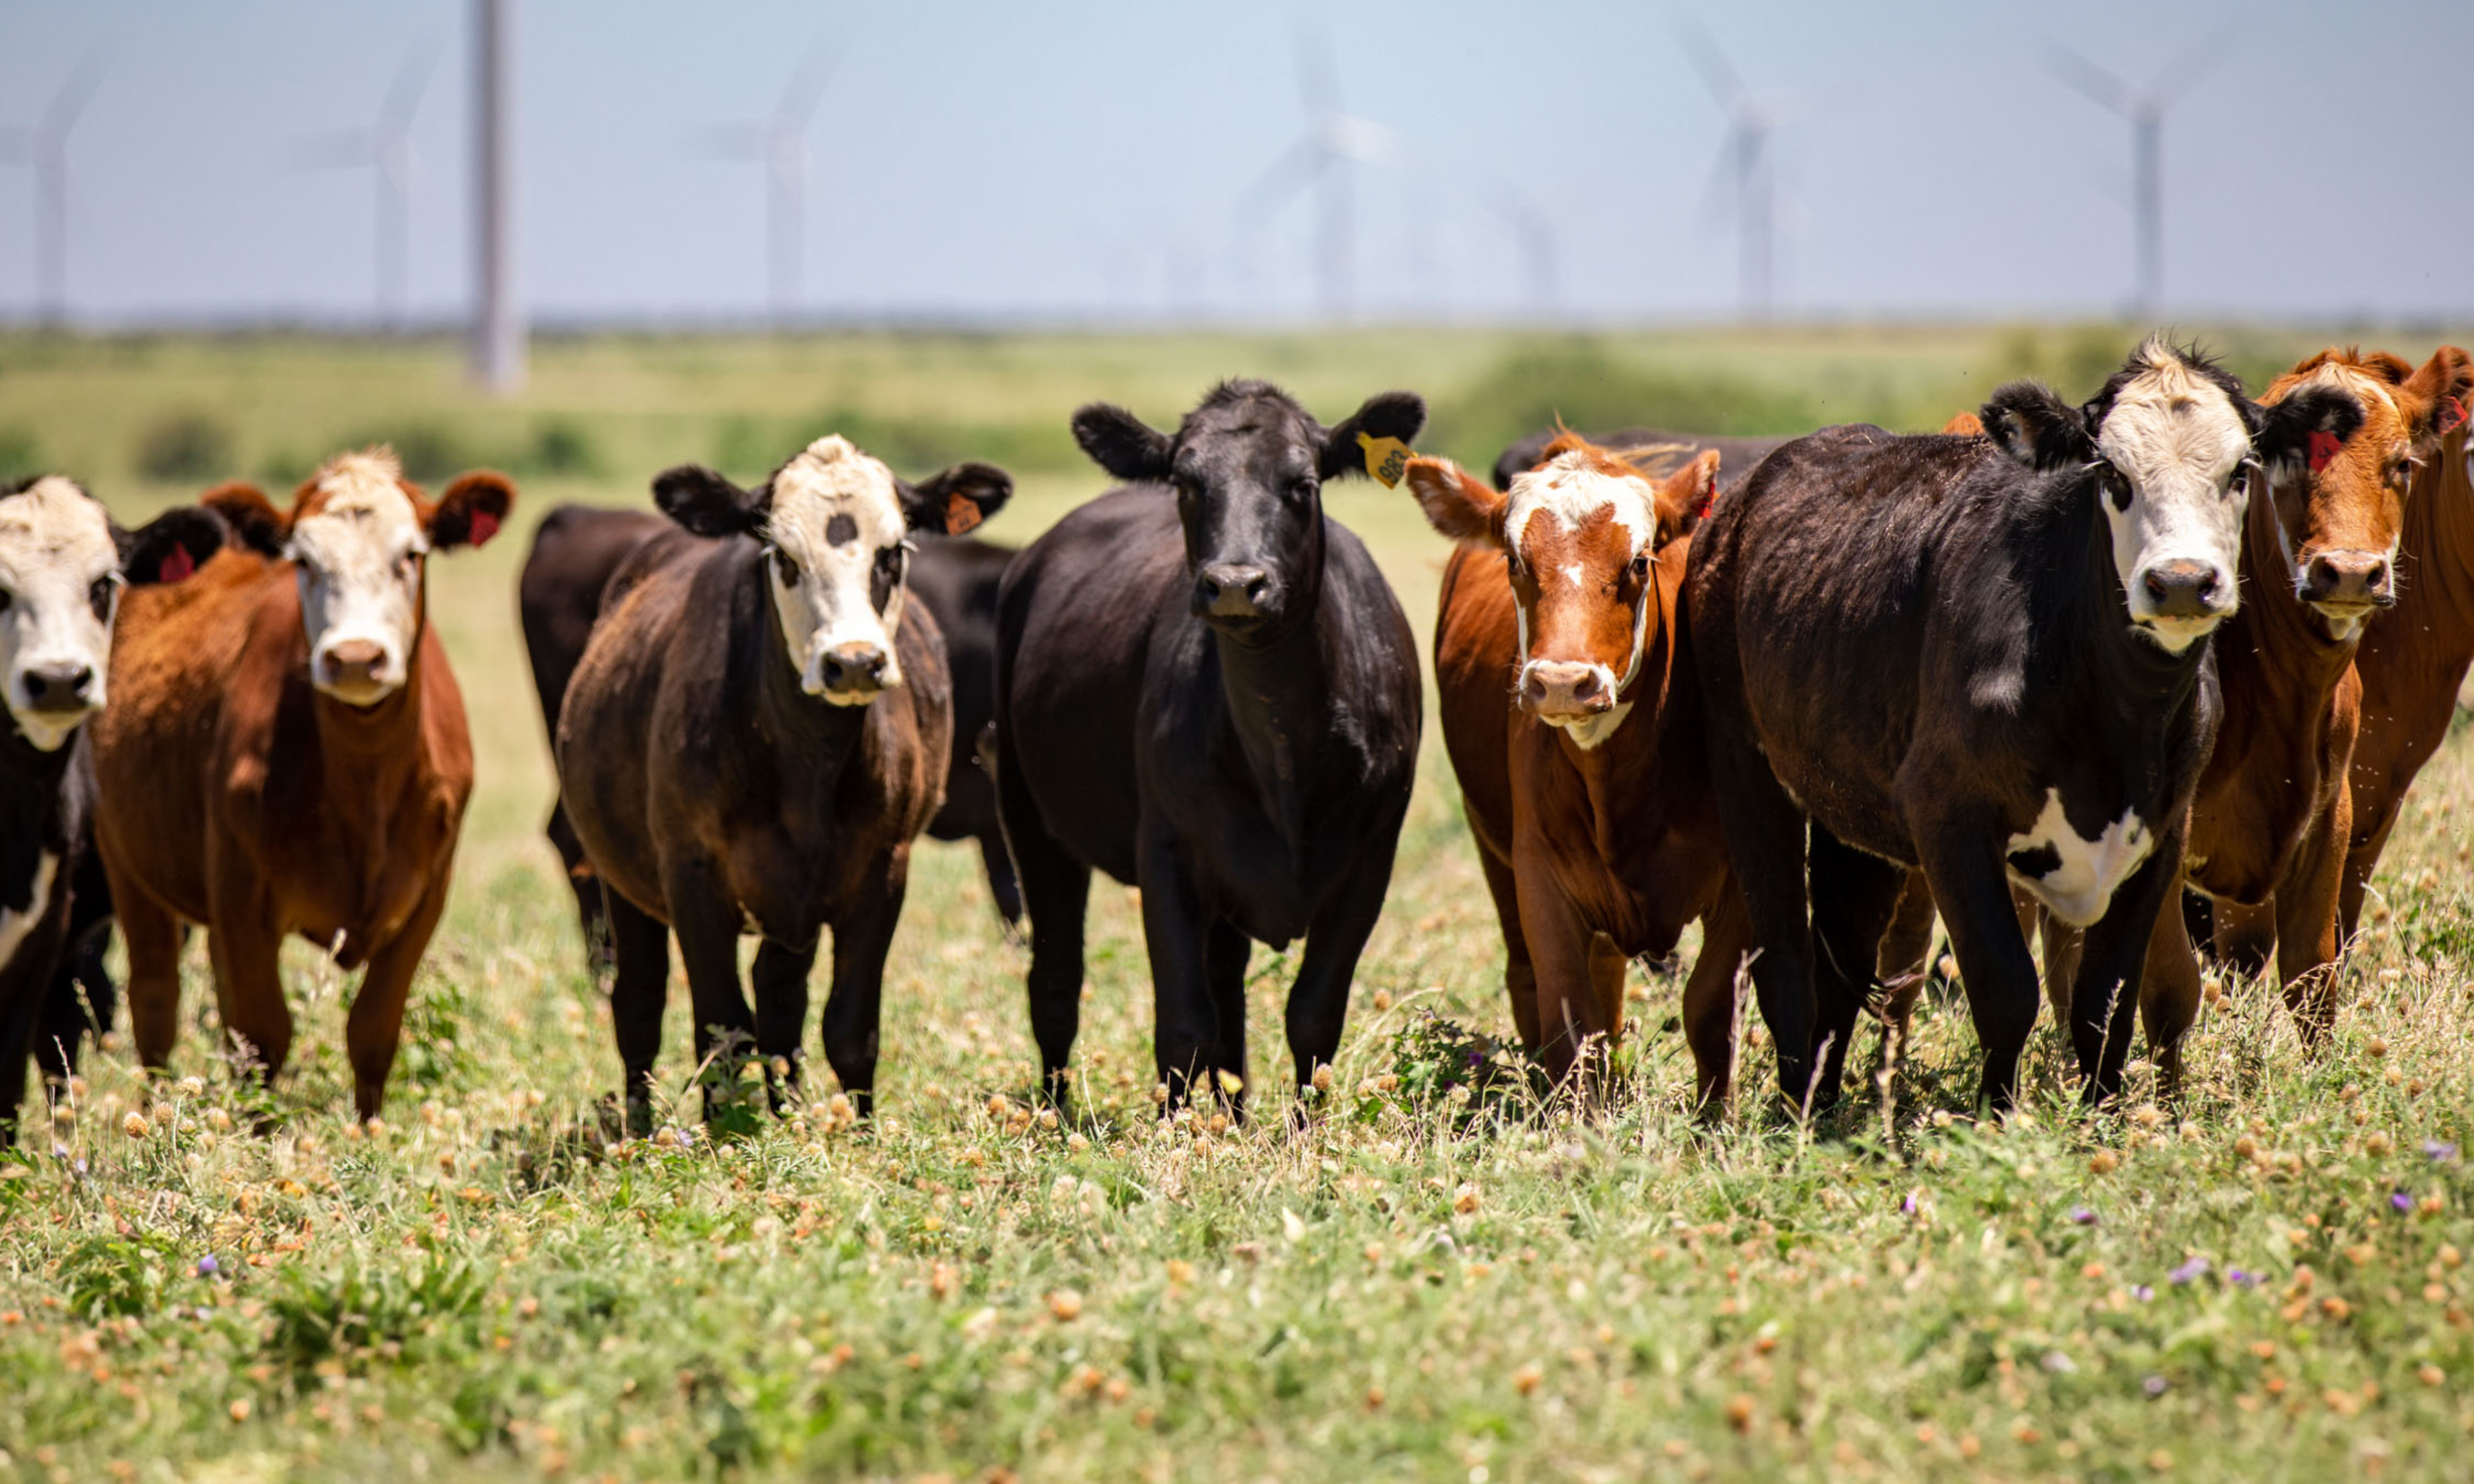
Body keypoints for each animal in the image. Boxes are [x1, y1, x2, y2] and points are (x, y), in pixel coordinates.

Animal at [89, 449, 513, 1121]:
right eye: (305, 561)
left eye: (411, 556)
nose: (356, 658)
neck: (364, 782)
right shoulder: (242, 895)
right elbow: (264, 1035)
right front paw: (256, 1134)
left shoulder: (427, 896)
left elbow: (372, 1031)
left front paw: (369, 1135)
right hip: (129, 863)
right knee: (156, 1001)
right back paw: (155, 1115)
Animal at [995, 380, 1424, 1115]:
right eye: (1186, 482)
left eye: (1302, 484)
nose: (1234, 584)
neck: (1282, 751)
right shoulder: (1166, 852)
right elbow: (1183, 1026)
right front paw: (1173, 1134)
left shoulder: (1372, 858)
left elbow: (1313, 1015)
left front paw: (1303, 1132)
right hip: (1029, 816)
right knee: (1055, 982)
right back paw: (1056, 1115)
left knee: (1228, 994)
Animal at [1407, 435, 1752, 1107]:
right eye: (1515, 560)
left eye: (1639, 563)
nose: (1564, 681)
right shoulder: (1542, 878)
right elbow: (1569, 1015)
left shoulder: (1744, 880)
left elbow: (1708, 1007)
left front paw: (1713, 1121)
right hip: (1493, 849)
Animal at [1687, 338, 2360, 1115]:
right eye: (2112, 473)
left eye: (2240, 471)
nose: (2182, 582)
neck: (2113, 713)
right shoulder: (1947, 814)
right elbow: (2007, 988)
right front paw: (1995, 1117)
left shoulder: (2163, 832)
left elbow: (2106, 999)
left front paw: (2104, 1117)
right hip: (1748, 773)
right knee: (1786, 962)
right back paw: (1797, 1108)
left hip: (1850, 813)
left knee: (1842, 960)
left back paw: (1823, 1107)